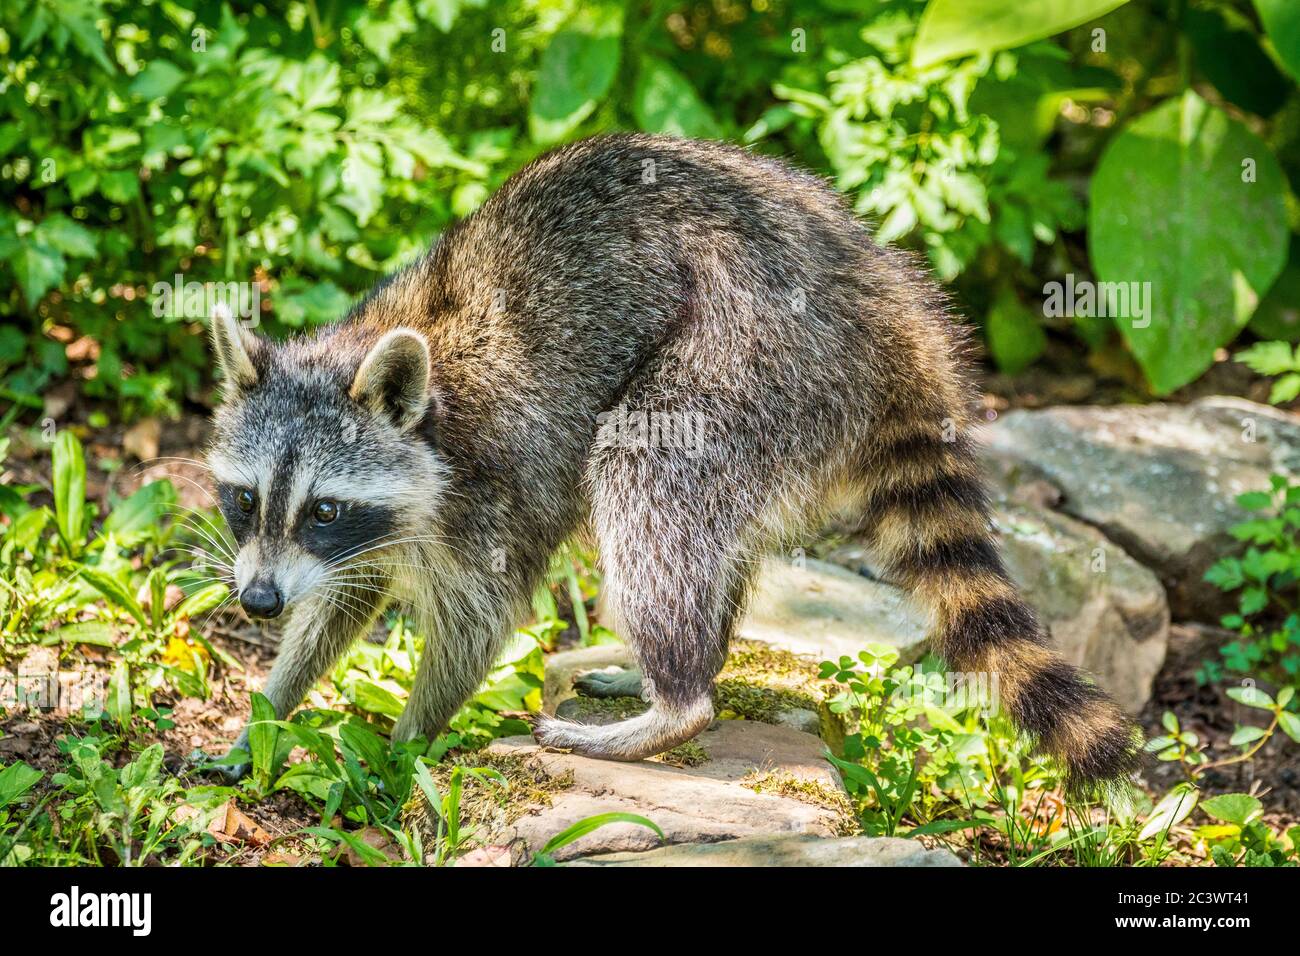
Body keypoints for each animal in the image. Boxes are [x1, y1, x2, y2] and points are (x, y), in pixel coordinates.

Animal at [208, 134, 1144, 790]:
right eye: (246, 501)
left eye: (323, 507)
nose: (256, 602)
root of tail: (889, 304)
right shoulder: (378, 527)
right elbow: (342, 600)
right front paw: (269, 710)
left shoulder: (489, 486)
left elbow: (479, 620)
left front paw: (402, 751)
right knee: (705, 532)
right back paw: (689, 664)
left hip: (748, 355)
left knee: (645, 477)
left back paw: (678, 703)